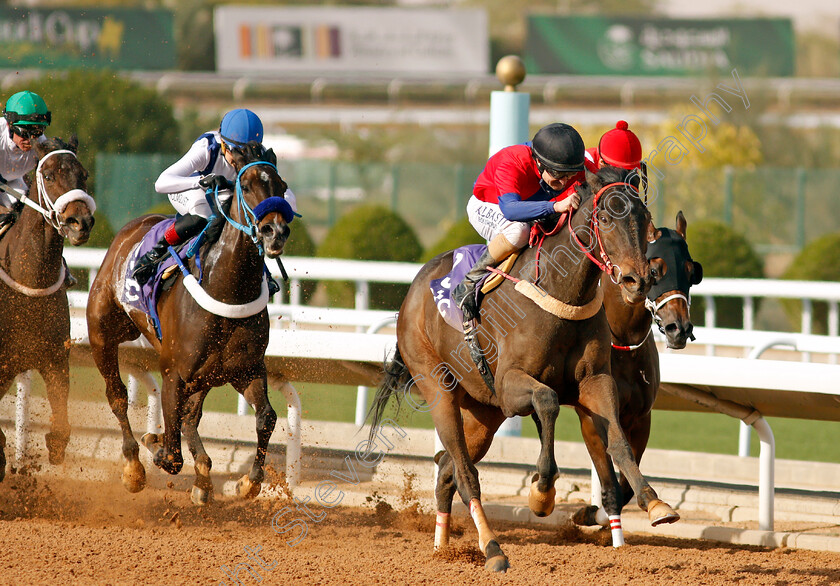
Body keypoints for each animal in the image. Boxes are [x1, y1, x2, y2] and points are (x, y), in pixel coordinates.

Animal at [0, 138, 94, 480]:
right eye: (49, 176)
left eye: (84, 174)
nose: (81, 222)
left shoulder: (54, 358)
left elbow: (62, 428)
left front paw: (53, 446)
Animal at [88, 143, 292, 502]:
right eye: (247, 184)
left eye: (281, 186)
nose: (276, 231)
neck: (227, 288)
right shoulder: (174, 373)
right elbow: (171, 456)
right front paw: (154, 443)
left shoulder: (246, 368)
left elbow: (266, 417)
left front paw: (248, 481)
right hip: (102, 334)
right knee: (117, 396)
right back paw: (133, 467)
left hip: (207, 373)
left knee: (190, 417)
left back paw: (203, 479)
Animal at [368, 165, 676, 572]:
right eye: (607, 218)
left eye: (645, 220)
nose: (636, 280)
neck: (562, 294)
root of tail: (413, 291)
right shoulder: (510, 385)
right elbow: (547, 401)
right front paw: (542, 493)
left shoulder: (594, 381)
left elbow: (618, 440)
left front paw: (655, 502)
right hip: (439, 387)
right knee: (465, 473)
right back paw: (493, 549)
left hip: (483, 413)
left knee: (447, 469)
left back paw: (443, 546)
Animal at [572, 210, 704, 540]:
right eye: (656, 269)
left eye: (691, 271)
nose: (679, 328)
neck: (621, 340)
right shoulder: (590, 417)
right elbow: (610, 483)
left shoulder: (641, 417)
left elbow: (624, 485)